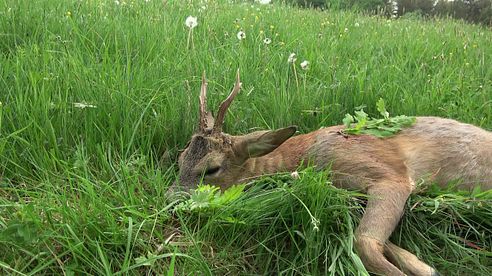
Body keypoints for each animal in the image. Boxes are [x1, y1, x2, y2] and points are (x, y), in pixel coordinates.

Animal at [177, 71, 492, 276]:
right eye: (180, 159)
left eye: (212, 169)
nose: (172, 199)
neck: (302, 157)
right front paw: (422, 265)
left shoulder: (390, 174)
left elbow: (364, 241)